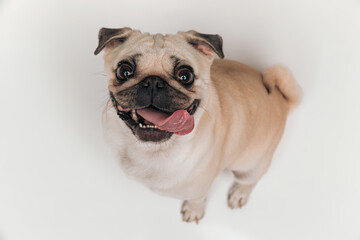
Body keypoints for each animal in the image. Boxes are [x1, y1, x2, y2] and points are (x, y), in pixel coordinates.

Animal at [93, 27, 300, 224]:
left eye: (185, 75)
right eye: (124, 71)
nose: (153, 81)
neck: (152, 150)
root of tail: (281, 99)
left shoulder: (198, 189)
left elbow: (197, 200)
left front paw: (193, 211)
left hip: (249, 166)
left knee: (248, 181)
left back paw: (239, 194)